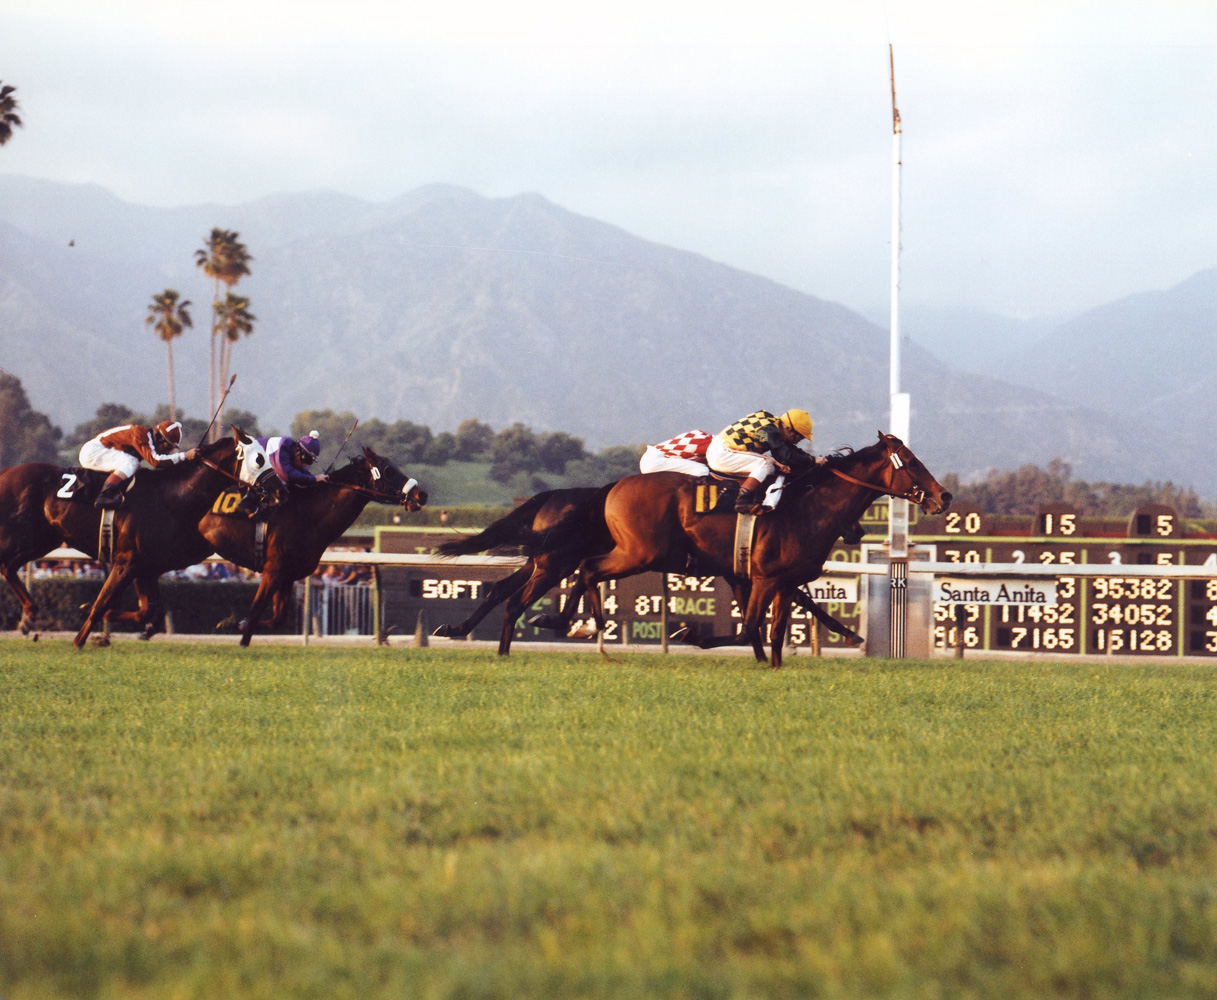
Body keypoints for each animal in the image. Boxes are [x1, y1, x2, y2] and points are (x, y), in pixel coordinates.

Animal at [199, 445, 428, 652]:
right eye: (388, 470)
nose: (422, 495)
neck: (307, 513)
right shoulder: (273, 570)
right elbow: (255, 612)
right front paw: (236, 632)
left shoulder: (287, 575)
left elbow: (277, 619)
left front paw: (234, 624)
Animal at [530, 435, 949, 671]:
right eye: (912, 462)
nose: (944, 497)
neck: (807, 507)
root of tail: (616, 485)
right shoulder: (763, 578)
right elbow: (751, 625)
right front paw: (689, 633)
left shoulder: (784, 582)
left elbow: (775, 631)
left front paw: (775, 666)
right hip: (640, 553)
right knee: (588, 568)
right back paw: (581, 624)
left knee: (585, 568)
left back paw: (568, 622)